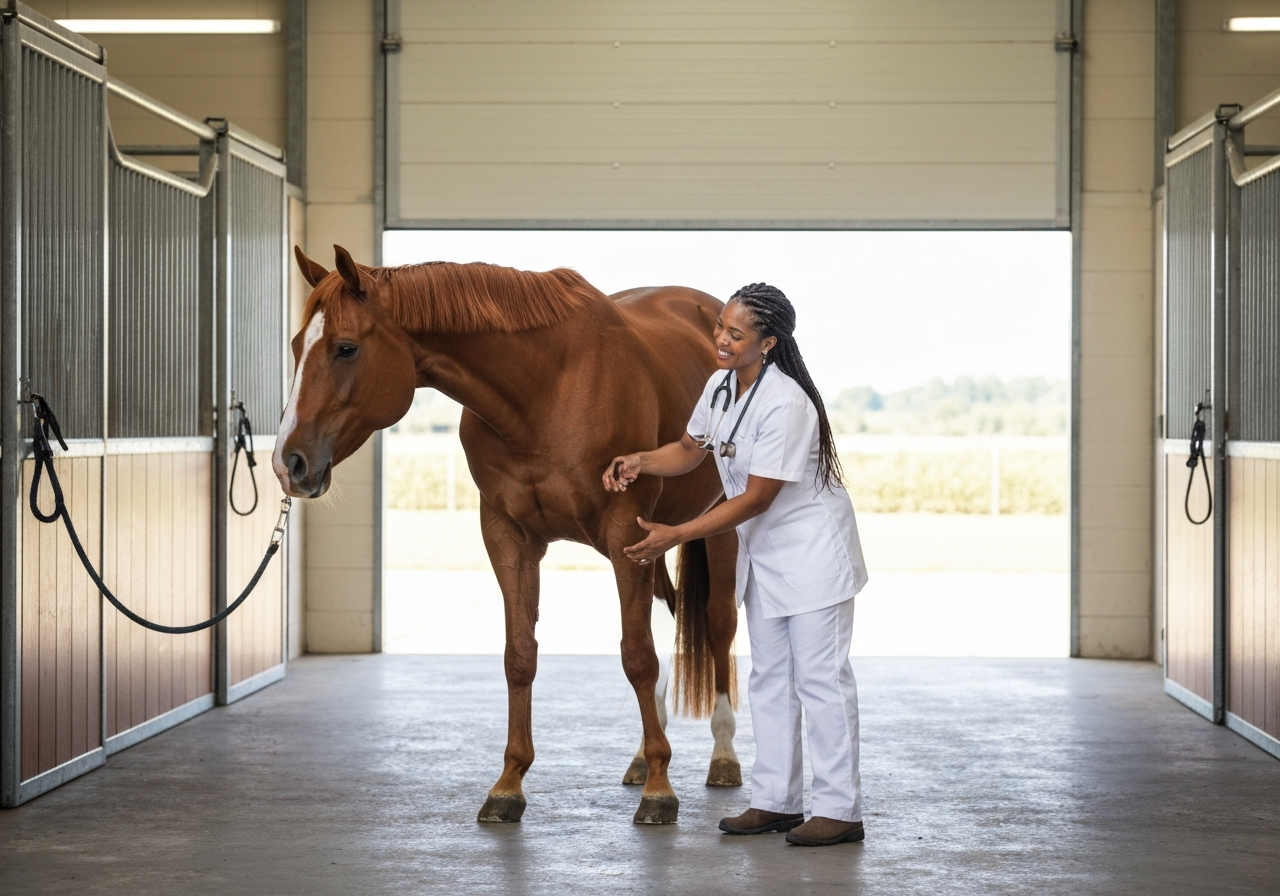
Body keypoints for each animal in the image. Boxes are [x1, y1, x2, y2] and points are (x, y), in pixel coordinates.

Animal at [275, 245, 742, 825]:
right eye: (297, 346)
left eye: (345, 348)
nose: (288, 463)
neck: (545, 388)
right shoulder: (508, 539)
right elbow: (520, 656)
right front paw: (508, 784)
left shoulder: (622, 537)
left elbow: (637, 656)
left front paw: (661, 789)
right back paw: (639, 758)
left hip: (718, 526)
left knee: (717, 626)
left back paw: (722, 756)